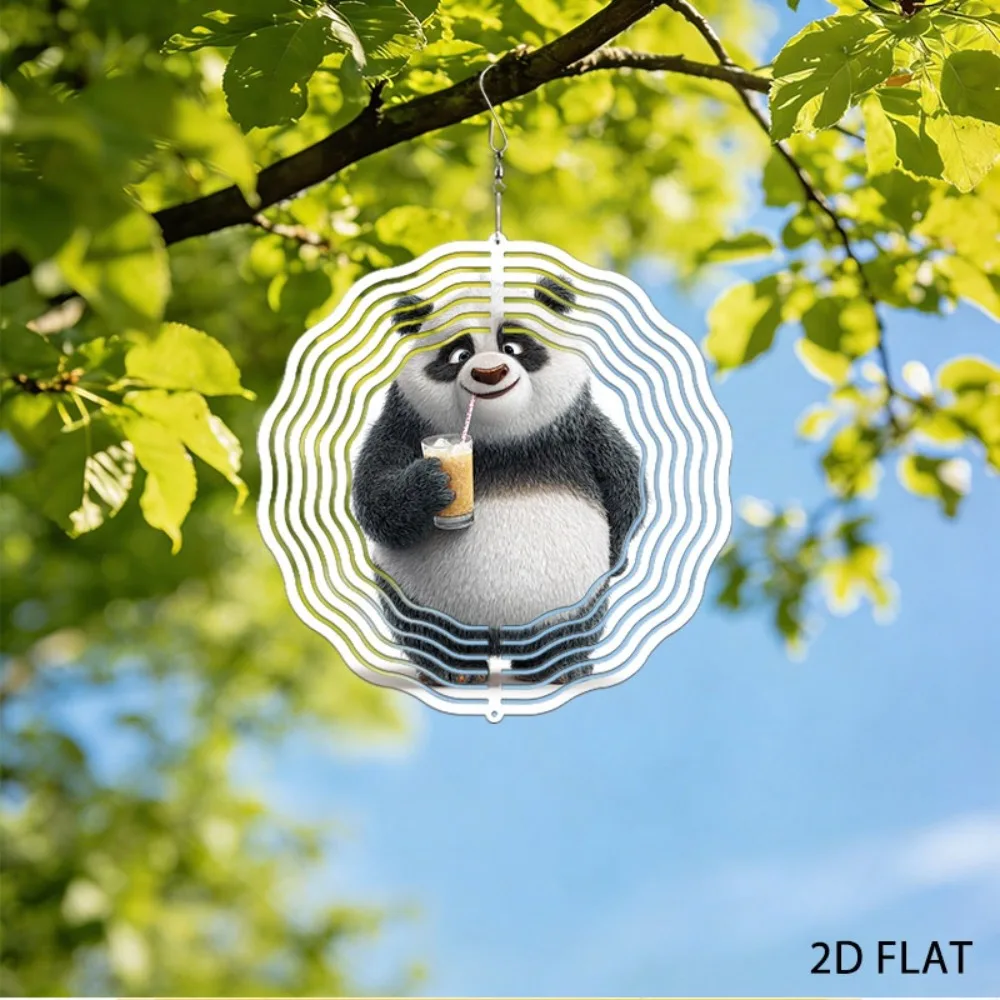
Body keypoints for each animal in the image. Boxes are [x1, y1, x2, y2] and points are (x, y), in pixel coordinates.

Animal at [351, 275, 642, 687]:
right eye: (458, 355)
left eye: (512, 346)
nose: (489, 373)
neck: (498, 441)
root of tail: (498, 637)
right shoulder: (403, 425)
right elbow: (375, 498)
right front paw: (430, 485)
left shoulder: (575, 429)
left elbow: (625, 484)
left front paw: (620, 554)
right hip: (417, 597)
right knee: (426, 630)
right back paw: (456, 670)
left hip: (569, 598)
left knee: (570, 627)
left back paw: (559, 668)